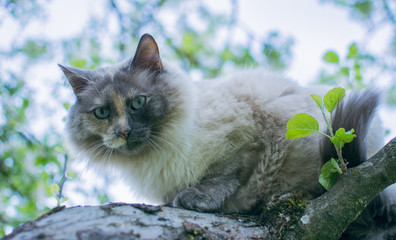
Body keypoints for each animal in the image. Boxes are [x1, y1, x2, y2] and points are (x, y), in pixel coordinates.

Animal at [59, 33, 396, 238]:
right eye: (102, 113)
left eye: (137, 103)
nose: (123, 132)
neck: (155, 158)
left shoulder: (249, 135)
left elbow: (228, 174)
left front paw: (197, 197)